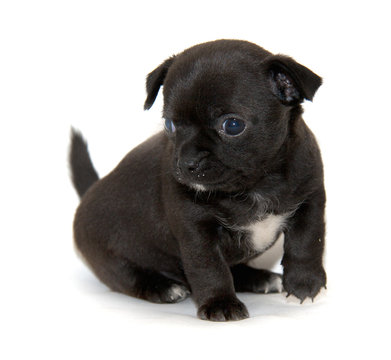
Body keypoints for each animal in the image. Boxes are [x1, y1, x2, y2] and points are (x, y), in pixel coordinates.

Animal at [70, 38, 328, 320]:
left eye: (233, 125)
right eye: (169, 125)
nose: (187, 163)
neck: (256, 184)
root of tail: (89, 191)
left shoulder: (311, 199)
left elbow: (307, 241)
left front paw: (305, 282)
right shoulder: (196, 230)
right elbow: (209, 267)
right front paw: (220, 303)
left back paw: (260, 279)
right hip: (111, 258)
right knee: (129, 277)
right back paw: (163, 288)